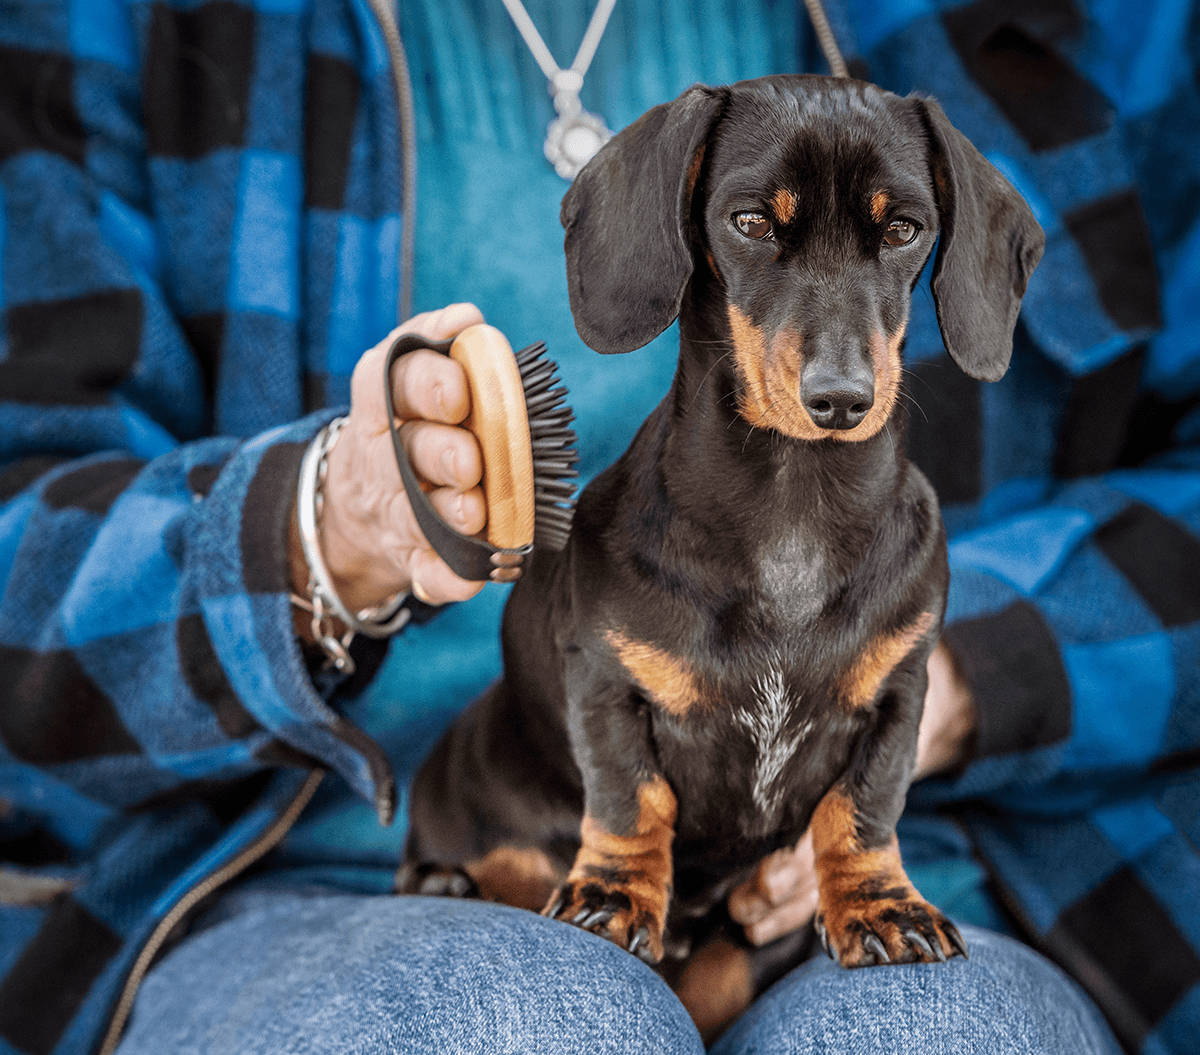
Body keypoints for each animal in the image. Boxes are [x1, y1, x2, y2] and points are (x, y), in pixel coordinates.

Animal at [398, 76, 1046, 1041]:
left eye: (903, 229)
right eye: (748, 222)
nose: (841, 399)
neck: (792, 508)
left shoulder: (902, 689)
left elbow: (864, 808)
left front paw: (880, 906)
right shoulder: (607, 680)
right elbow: (631, 795)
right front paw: (614, 894)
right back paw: (445, 881)